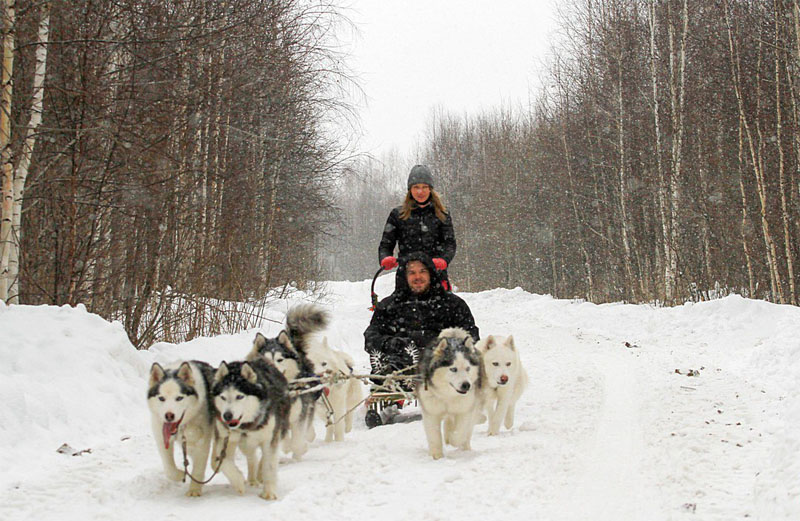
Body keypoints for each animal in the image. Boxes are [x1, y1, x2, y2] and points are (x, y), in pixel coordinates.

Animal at [147, 360, 214, 494]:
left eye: (179, 398)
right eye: (161, 398)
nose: (169, 416)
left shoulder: (202, 441)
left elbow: (199, 467)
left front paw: (194, 489)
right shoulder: (161, 437)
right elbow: (169, 468)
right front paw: (179, 474)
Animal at [209, 358, 290, 500]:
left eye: (240, 396)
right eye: (223, 397)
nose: (227, 415)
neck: (244, 426)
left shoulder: (270, 438)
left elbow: (269, 465)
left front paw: (269, 492)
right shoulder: (225, 439)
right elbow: (222, 462)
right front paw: (238, 482)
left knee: (264, 458)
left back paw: (259, 475)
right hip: (244, 443)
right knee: (252, 457)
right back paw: (252, 479)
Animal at [416, 330, 484, 460]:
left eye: (467, 368)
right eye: (453, 369)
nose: (466, 385)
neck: (447, 396)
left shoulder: (465, 409)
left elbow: (460, 432)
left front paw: (453, 439)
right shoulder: (431, 411)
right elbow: (434, 435)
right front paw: (436, 455)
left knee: (466, 430)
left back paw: (464, 448)